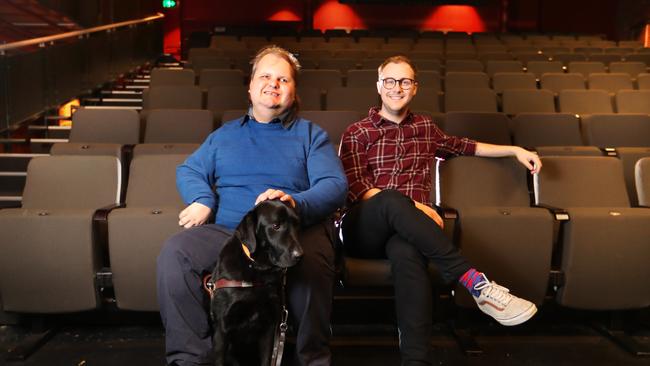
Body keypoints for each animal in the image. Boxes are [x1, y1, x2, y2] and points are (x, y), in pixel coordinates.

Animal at [209, 200, 302, 366]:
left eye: (297, 225)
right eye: (276, 226)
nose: (300, 255)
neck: (257, 268)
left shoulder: (269, 328)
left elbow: (266, 360)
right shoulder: (222, 329)